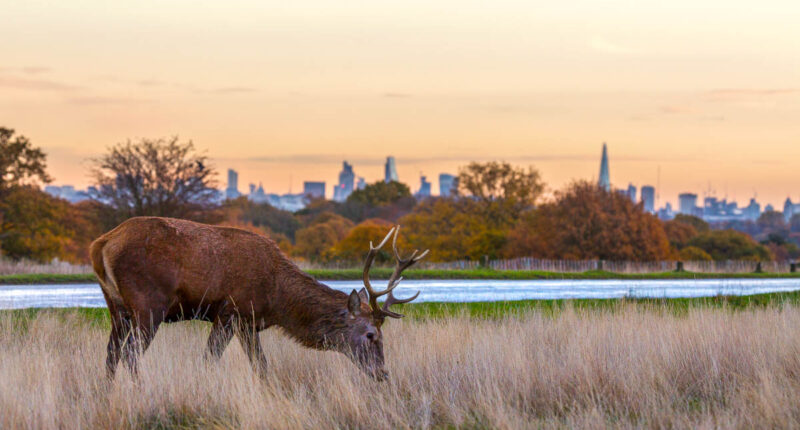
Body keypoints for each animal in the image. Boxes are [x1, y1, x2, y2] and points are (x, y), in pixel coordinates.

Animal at [89, 217, 424, 382]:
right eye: (370, 334)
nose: (383, 374)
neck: (277, 299)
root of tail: (101, 244)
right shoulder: (232, 312)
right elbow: (210, 359)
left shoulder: (248, 323)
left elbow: (261, 366)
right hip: (148, 304)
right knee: (130, 354)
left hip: (116, 307)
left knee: (110, 354)